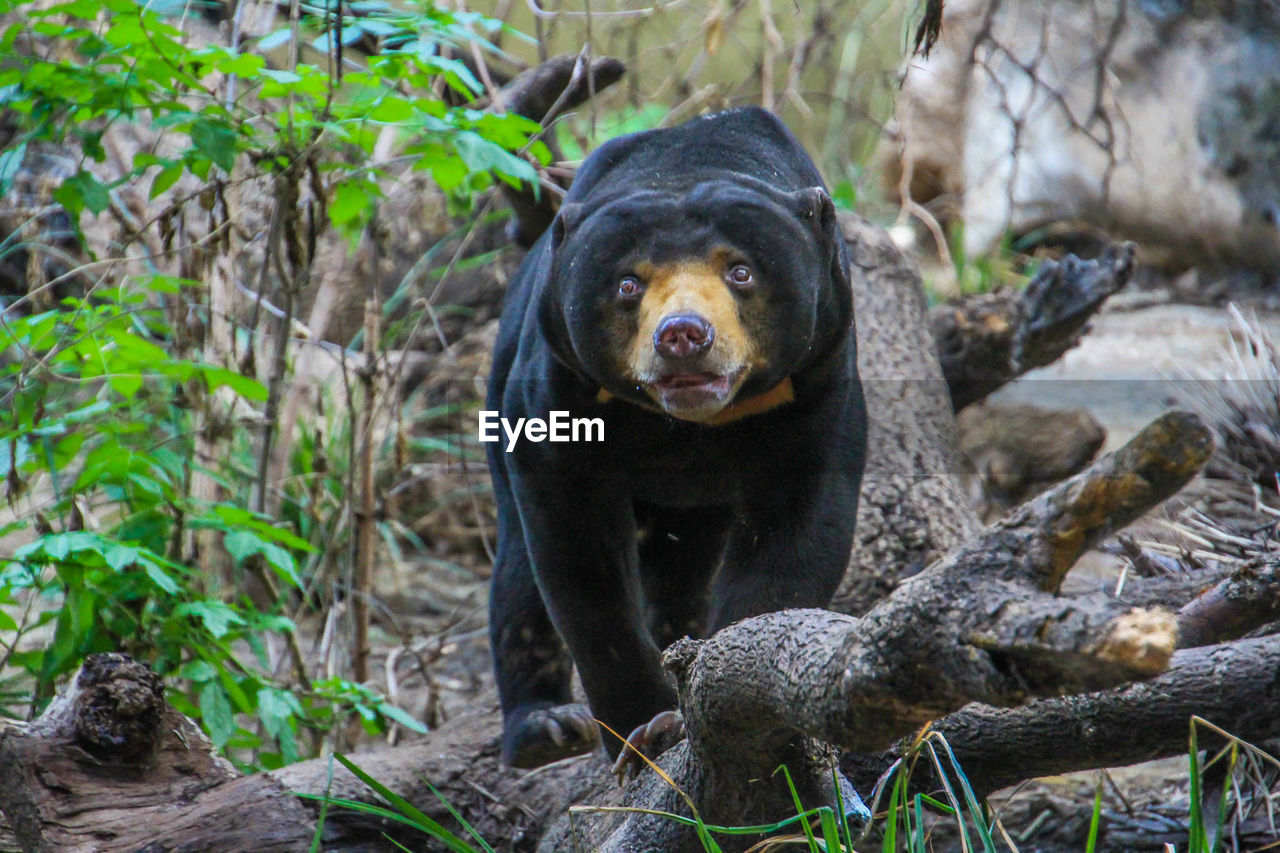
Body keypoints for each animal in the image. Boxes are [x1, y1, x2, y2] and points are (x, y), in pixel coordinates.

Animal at [483, 103, 865, 768]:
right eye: (628, 284)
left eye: (741, 271)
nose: (684, 334)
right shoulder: (558, 385)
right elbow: (577, 559)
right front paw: (644, 730)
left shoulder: (820, 374)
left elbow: (799, 529)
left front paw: (725, 698)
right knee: (518, 578)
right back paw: (545, 729)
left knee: (683, 568)